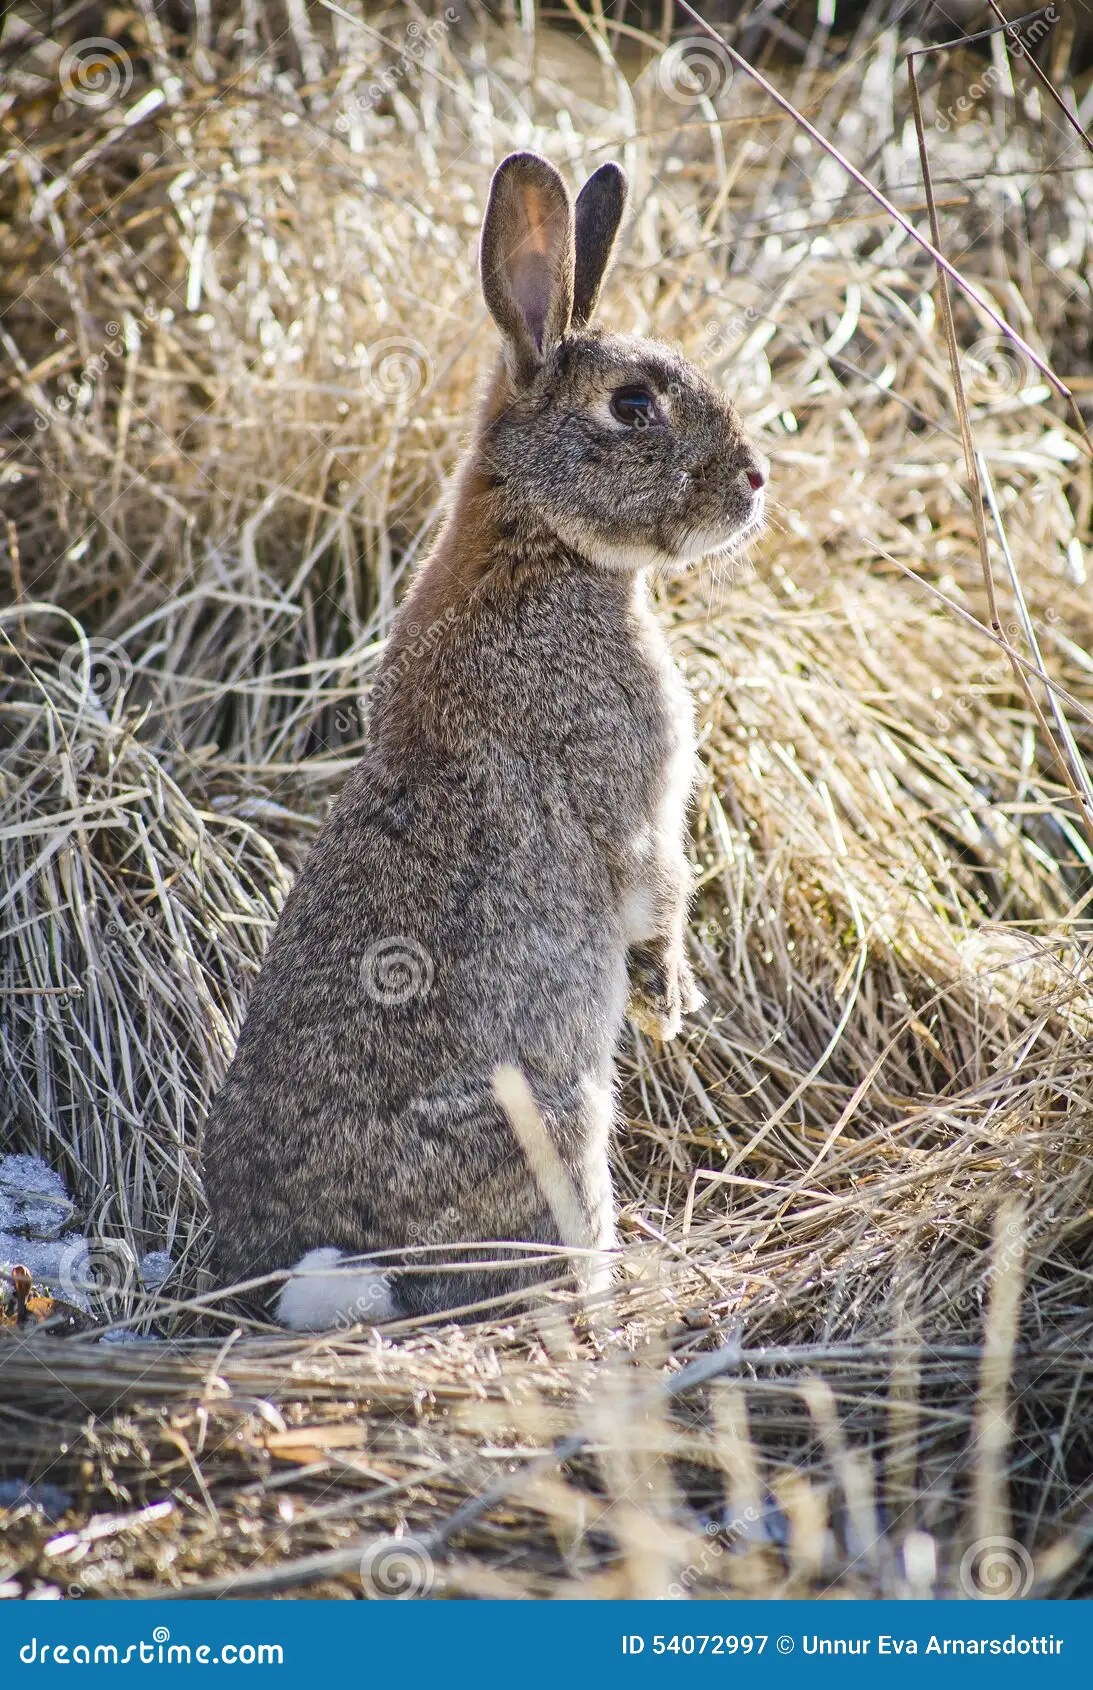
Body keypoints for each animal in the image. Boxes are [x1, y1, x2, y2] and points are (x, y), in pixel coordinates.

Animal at [202, 150, 768, 1331]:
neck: (541, 538)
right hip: (554, 1125)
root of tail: (320, 1269)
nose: (752, 480)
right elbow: (658, 893)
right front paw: (672, 1008)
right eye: (633, 405)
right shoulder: (630, 791)